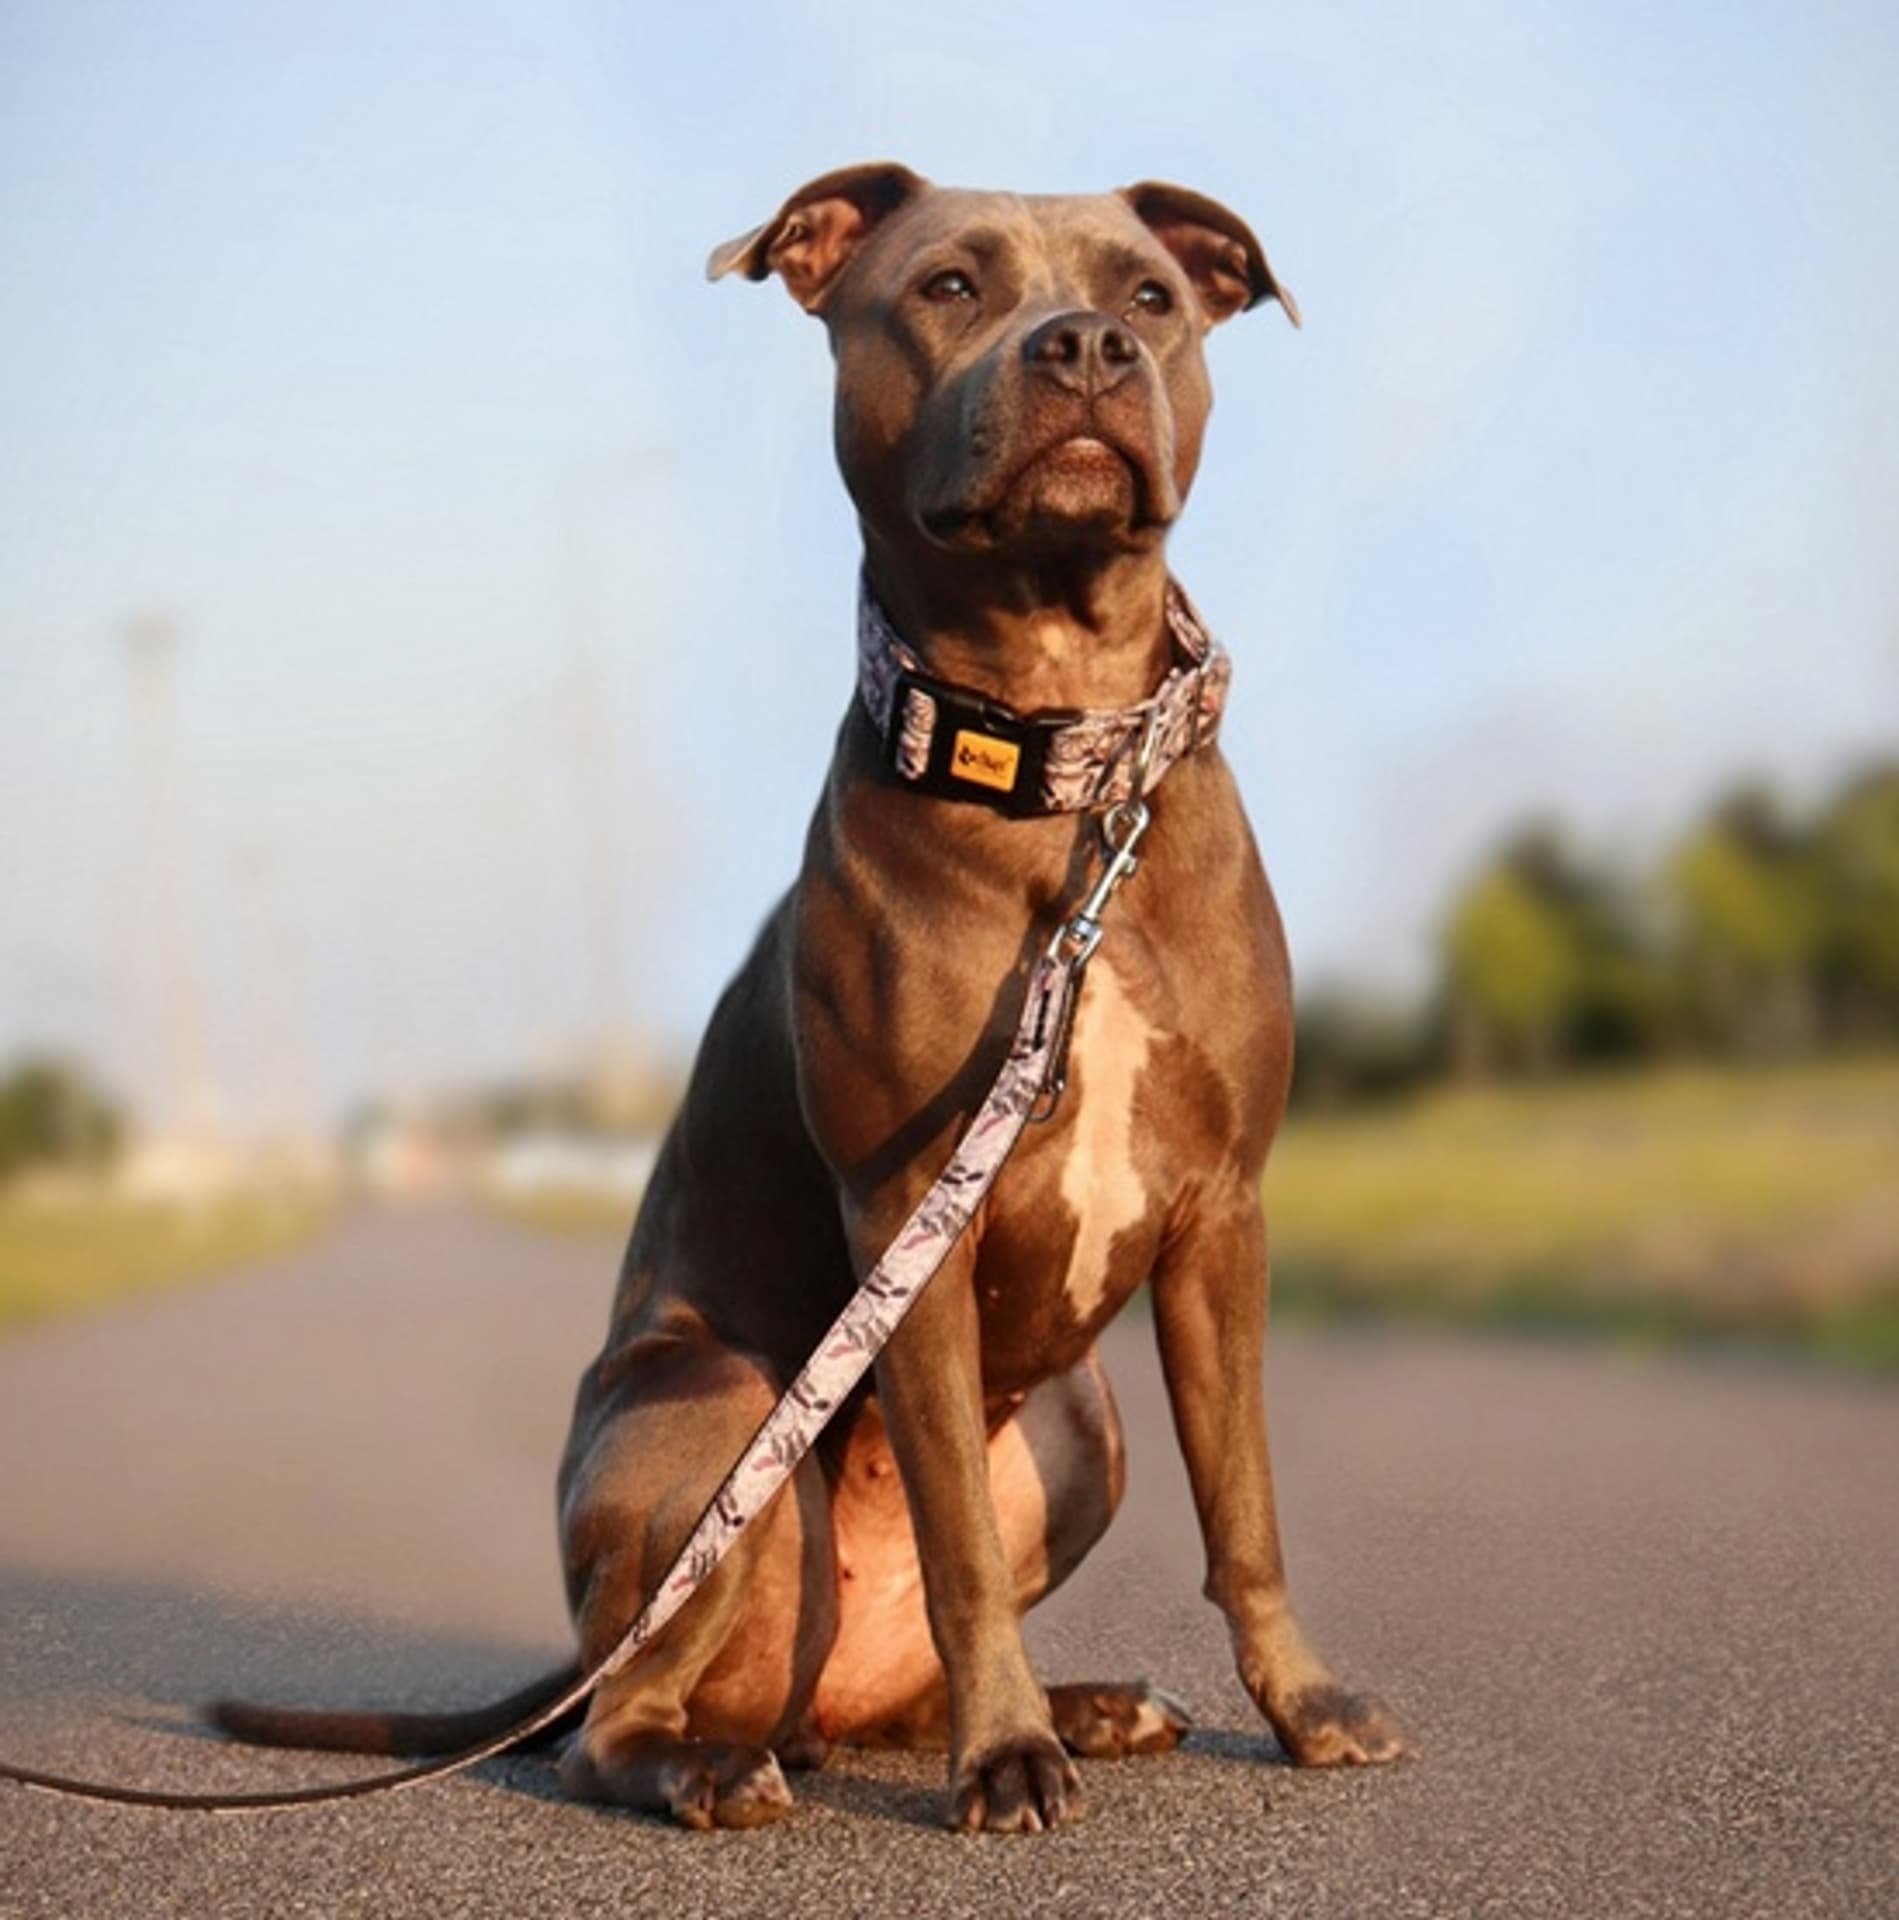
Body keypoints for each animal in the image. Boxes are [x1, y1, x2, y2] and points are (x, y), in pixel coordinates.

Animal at [215, 161, 1397, 1827]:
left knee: (870, 1692)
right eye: (949, 286)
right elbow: (962, 1545)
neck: (1061, 761)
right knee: (613, 1719)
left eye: (1150, 295)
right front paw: (1005, 1758)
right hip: (719, 1406)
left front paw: (1296, 1708)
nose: (1084, 344)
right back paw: (723, 1767)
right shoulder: (909, 1209)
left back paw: (1082, 1704)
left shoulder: (1219, 1215)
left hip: (1080, 1429)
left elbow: (1244, 1508)